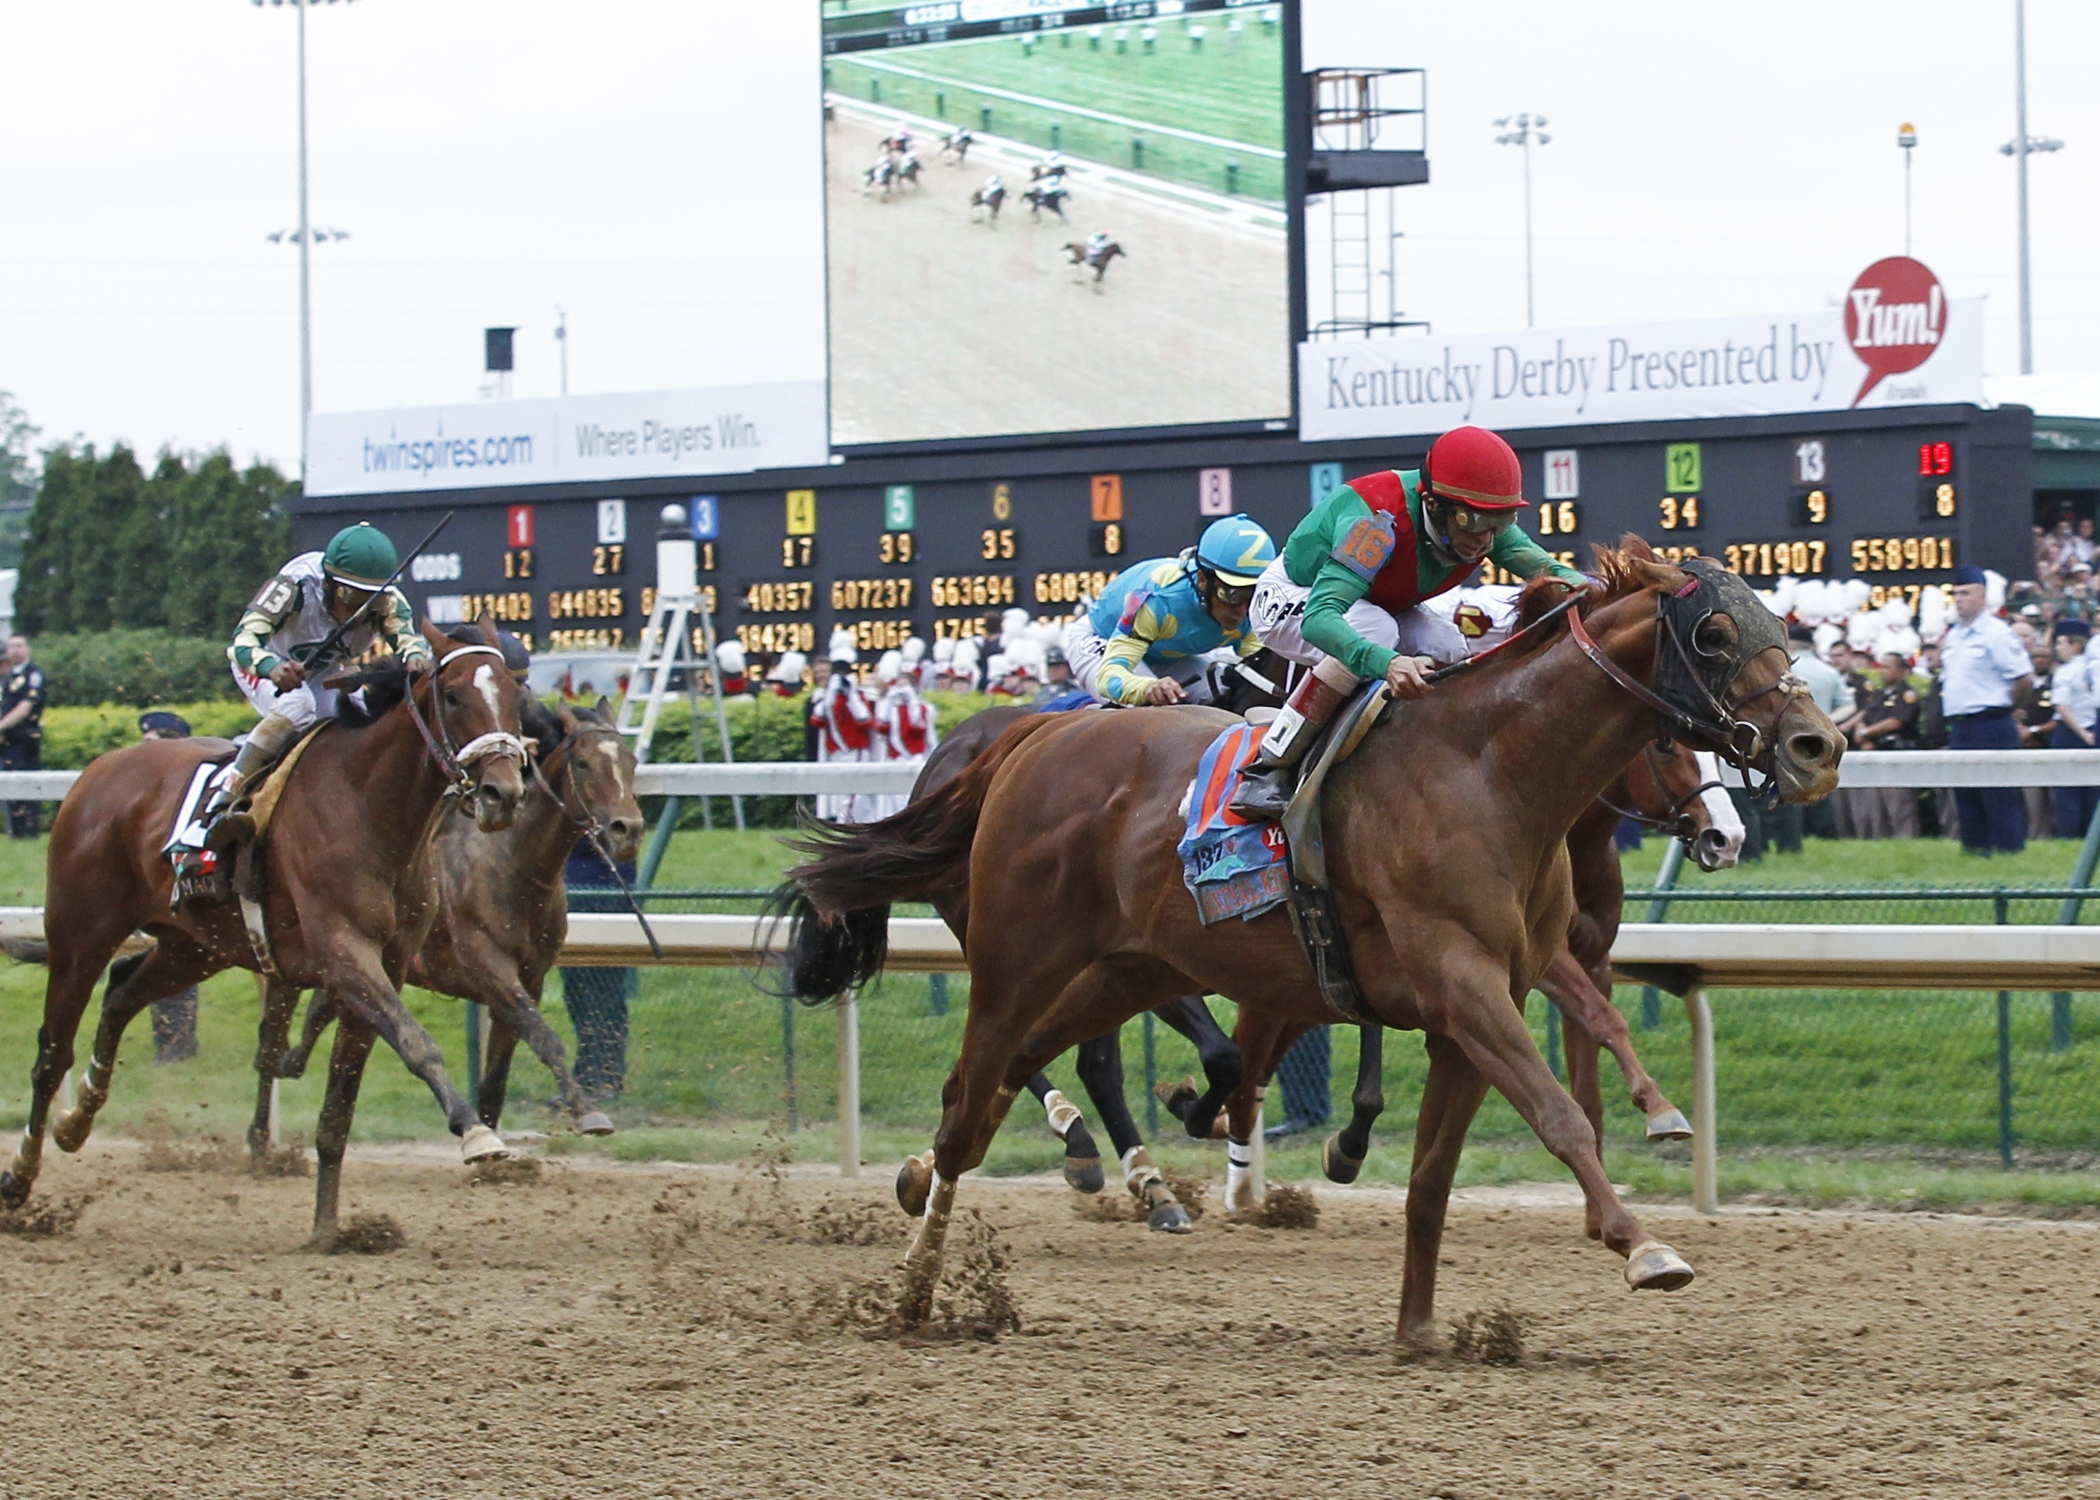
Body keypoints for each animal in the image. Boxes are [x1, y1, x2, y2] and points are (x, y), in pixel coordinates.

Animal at [4, 613, 529, 1243]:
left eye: (516, 695)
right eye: (452, 696)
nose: (504, 794)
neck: (370, 806)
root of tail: (99, 770)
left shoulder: (389, 964)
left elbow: (342, 1102)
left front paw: (329, 1228)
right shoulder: (345, 955)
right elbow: (418, 1045)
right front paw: (477, 1134)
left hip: (196, 947)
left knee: (123, 992)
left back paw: (77, 1120)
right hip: (80, 933)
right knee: (51, 1053)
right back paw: (20, 1180)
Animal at [247, 693, 638, 1151]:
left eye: (631, 761)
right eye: (583, 763)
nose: (627, 829)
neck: (510, 862)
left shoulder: (530, 977)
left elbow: (498, 1082)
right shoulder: (490, 968)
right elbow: (545, 1037)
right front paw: (588, 1112)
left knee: (313, 1017)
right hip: (291, 962)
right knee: (270, 1042)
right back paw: (262, 1133)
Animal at [772, 542, 1839, 1336]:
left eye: (1774, 624)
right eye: (1712, 633)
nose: (1816, 748)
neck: (1490, 769)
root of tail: (1021, 740)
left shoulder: (1480, 987)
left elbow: (1447, 1155)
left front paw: (1420, 1325)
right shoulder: (1464, 979)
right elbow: (1556, 1108)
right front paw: (1643, 1241)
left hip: (1126, 967)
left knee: (1016, 1078)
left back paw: (1005, 1179)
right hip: (1015, 957)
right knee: (986, 1090)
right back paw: (925, 1283)